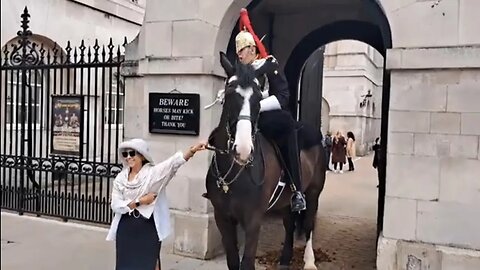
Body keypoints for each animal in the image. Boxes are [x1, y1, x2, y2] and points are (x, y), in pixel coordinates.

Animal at [206, 52, 326, 270]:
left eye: (258, 98)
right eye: (229, 93)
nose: (243, 150)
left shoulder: (253, 219)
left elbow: (246, 263)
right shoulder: (223, 218)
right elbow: (232, 261)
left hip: (313, 192)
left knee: (308, 225)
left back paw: (309, 261)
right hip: (285, 201)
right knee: (289, 224)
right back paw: (285, 259)